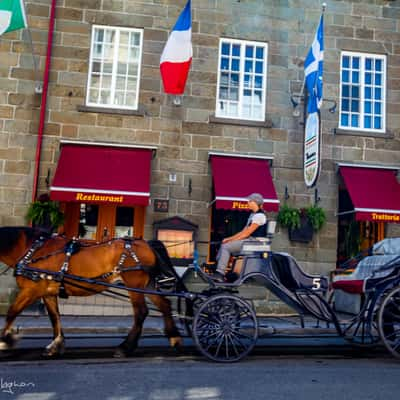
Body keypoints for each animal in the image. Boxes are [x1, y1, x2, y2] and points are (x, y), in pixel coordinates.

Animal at [0, 227, 182, 358]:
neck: (33, 250)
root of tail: (146, 244)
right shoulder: (48, 292)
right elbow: (54, 317)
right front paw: (55, 345)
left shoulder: (31, 290)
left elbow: (12, 312)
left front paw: (4, 340)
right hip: (147, 285)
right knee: (164, 305)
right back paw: (174, 337)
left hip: (134, 283)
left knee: (141, 312)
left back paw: (125, 347)